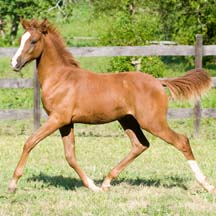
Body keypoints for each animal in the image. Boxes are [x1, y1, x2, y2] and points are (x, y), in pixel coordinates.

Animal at [9, 19, 215, 192]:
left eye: (33, 41)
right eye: (21, 39)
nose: (14, 63)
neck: (60, 78)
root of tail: (158, 82)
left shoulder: (58, 118)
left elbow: (30, 142)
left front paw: (12, 184)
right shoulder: (66, 122)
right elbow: (70, 155)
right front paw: (92, 186)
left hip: (153, 122)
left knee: (181, 141)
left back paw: (206, 184)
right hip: (128, 120)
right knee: (140, 144)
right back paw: (106, 182)